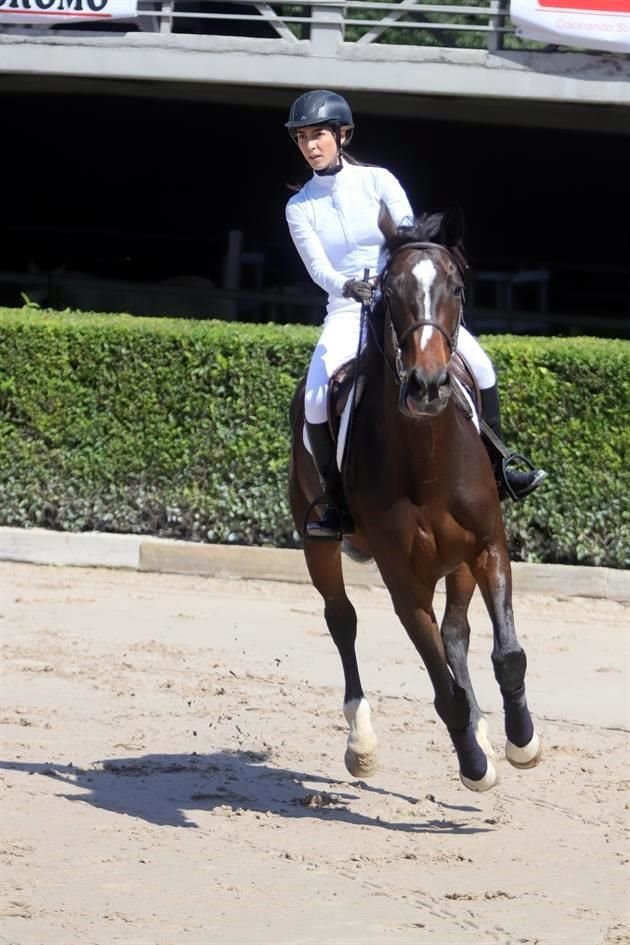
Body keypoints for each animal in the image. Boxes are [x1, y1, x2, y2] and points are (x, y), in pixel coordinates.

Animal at [288, 205, 544, 788]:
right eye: (390, 289)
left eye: (456, 287)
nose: (427, 386)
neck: (426, 459)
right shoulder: (404, 582)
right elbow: (442, 688)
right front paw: (473, 765)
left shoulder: (488, 546)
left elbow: (506, 653)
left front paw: (521, 742)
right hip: (318, 546)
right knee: (342, 620)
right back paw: (362, 742)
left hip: (458, 559)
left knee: (456, 633)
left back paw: (485, 731)